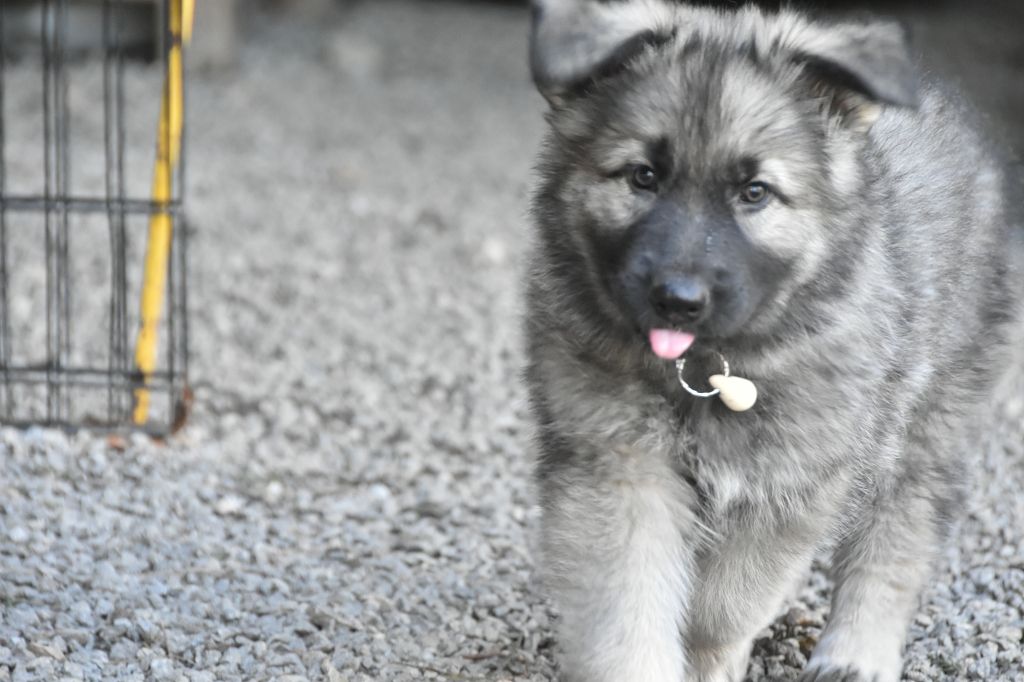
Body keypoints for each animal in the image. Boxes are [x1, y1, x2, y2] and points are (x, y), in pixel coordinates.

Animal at [523, 1, 1022, 681]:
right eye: (643, 177)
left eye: (754, 192)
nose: (678, 298)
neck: (708, 367)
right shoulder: (617, 466)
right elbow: (628, 605)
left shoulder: (792, 481)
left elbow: (722, 605)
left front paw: (709, 658)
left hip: (929, 416)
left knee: (897, 535)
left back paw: (856, 651)